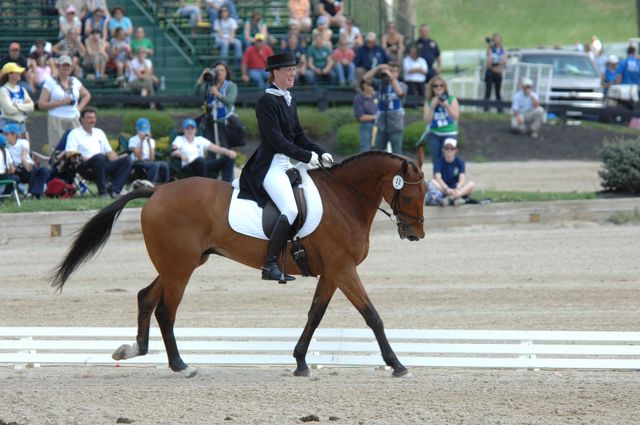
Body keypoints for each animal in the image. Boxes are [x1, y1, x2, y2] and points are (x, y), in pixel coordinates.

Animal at [52, 150, 428, 378]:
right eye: (410, 194)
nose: (416, 235)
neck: (344, 199)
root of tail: (157, 191)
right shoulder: (343, 270)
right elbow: (372, 316)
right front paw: (397, 365)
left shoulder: (332, 273)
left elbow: (315, 315)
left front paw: (301, 362)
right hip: (180, 269)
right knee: (165, 311)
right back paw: (180, 365)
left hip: (179, 265)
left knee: (146, 297)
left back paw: (134, 350)